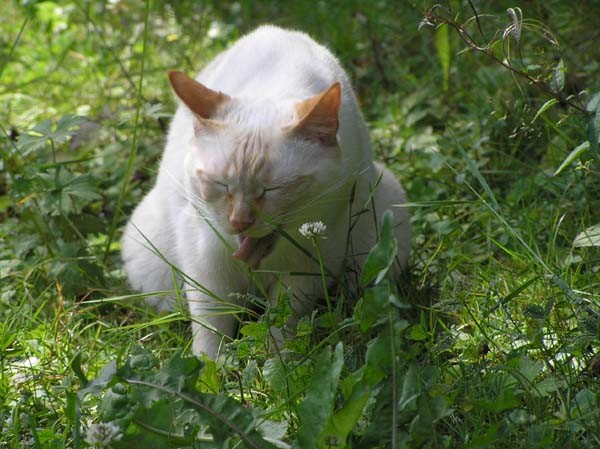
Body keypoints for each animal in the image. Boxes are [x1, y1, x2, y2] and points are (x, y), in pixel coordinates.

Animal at [122, 26, 412, 358]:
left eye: (272, 189)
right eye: (222, 185)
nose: (239, 222)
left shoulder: (309, 263)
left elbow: (283, 324)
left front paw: (279, 360)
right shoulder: (205, 259)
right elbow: (211, 323)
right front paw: (214, 366)